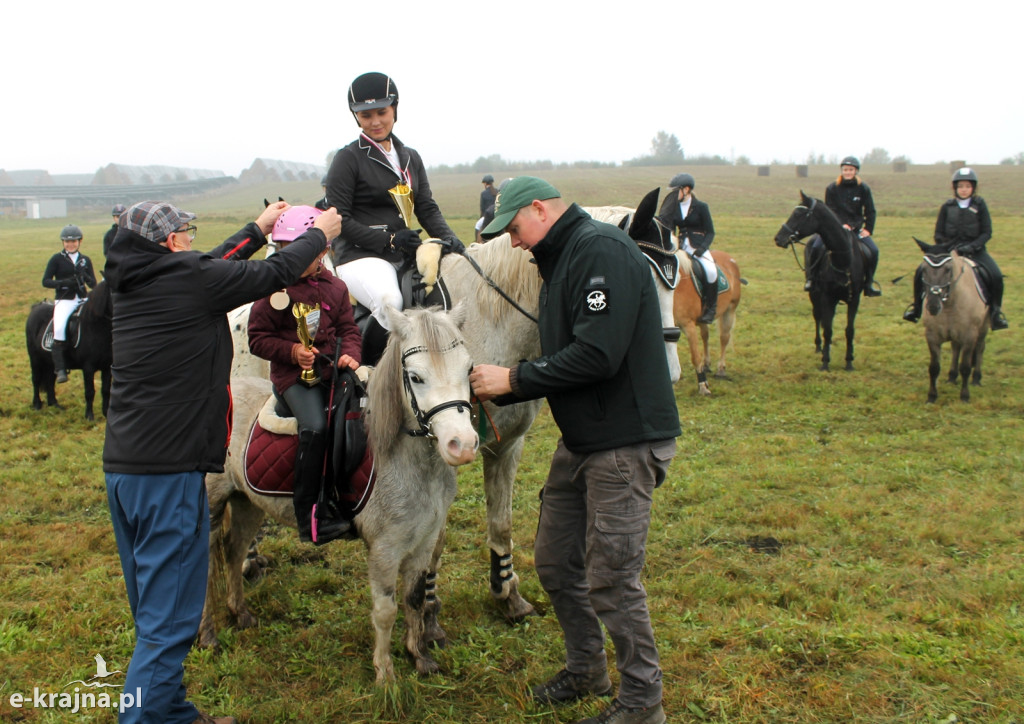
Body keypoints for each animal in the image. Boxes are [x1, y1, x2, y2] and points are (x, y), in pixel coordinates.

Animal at [25, 280, 112, 421]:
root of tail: (36, 307)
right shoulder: (88, 367)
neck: (96, 326)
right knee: (36, 379)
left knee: (50, 380)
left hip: (50, 362)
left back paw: (54, 404)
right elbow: (90, 392)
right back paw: (37, 404)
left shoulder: (107, 366)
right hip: (35, 359)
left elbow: (105, 391)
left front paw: (106, 414)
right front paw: (89, 416)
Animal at [774, 191, 864, 370]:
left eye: (798, 214)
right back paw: (819, 347)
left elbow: (849, 330)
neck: (842, 260)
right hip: (814, 293)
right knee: (817, 316)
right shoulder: (828, 297)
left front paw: (849, 361)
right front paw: (825, 362)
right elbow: (827, 329)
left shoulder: (854, 299)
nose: (778, 238)